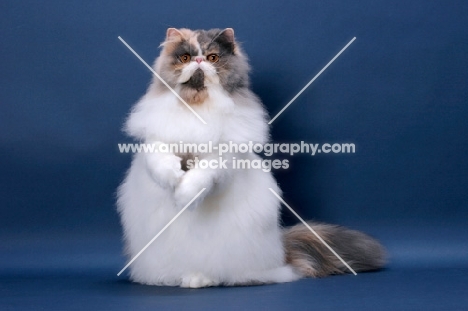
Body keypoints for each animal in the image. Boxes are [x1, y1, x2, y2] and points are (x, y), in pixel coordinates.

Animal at [116, 28, 384, 288]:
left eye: (212, 57)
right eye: (185, 58)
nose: (199, 61)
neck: (197, 106)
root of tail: (280, 252)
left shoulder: (223, 155)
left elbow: (200, 176)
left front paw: (185, 197)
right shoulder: (157, 141)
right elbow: (161, 162)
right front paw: (172, 180)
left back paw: (199, 279)